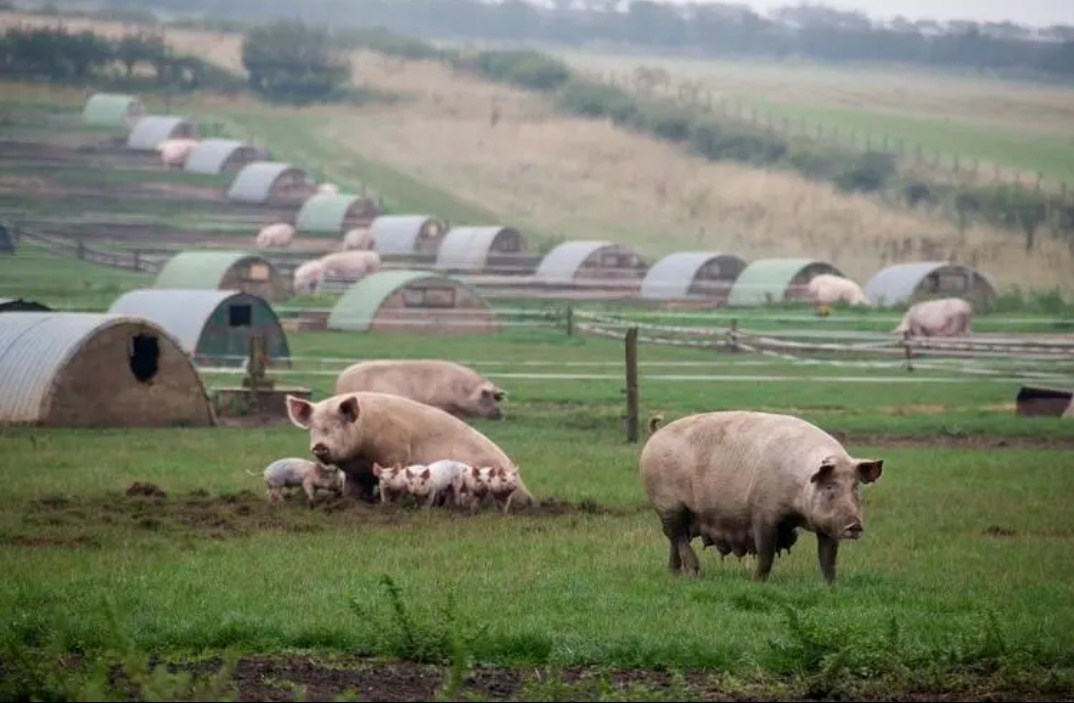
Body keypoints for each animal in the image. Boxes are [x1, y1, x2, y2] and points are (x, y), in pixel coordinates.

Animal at [285, 390, 532, 510]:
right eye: (314, 427)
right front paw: (350, 504)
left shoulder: (396, 451)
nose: (319, 445)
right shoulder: (356, 472)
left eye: (337, 425)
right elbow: (353, 490)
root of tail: (528, 494)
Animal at [635, 409, 880, 583]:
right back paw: (694, 573)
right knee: (677, 536)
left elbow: (828, 558)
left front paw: (831, 586)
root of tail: (656, 434)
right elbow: (765, 553)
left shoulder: (827, 526)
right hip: (668, 504)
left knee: (675, 540)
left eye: (855, 487)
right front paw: (756, 582)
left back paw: (674, 575)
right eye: (829, 486)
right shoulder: (763, 513)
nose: (854, 525)